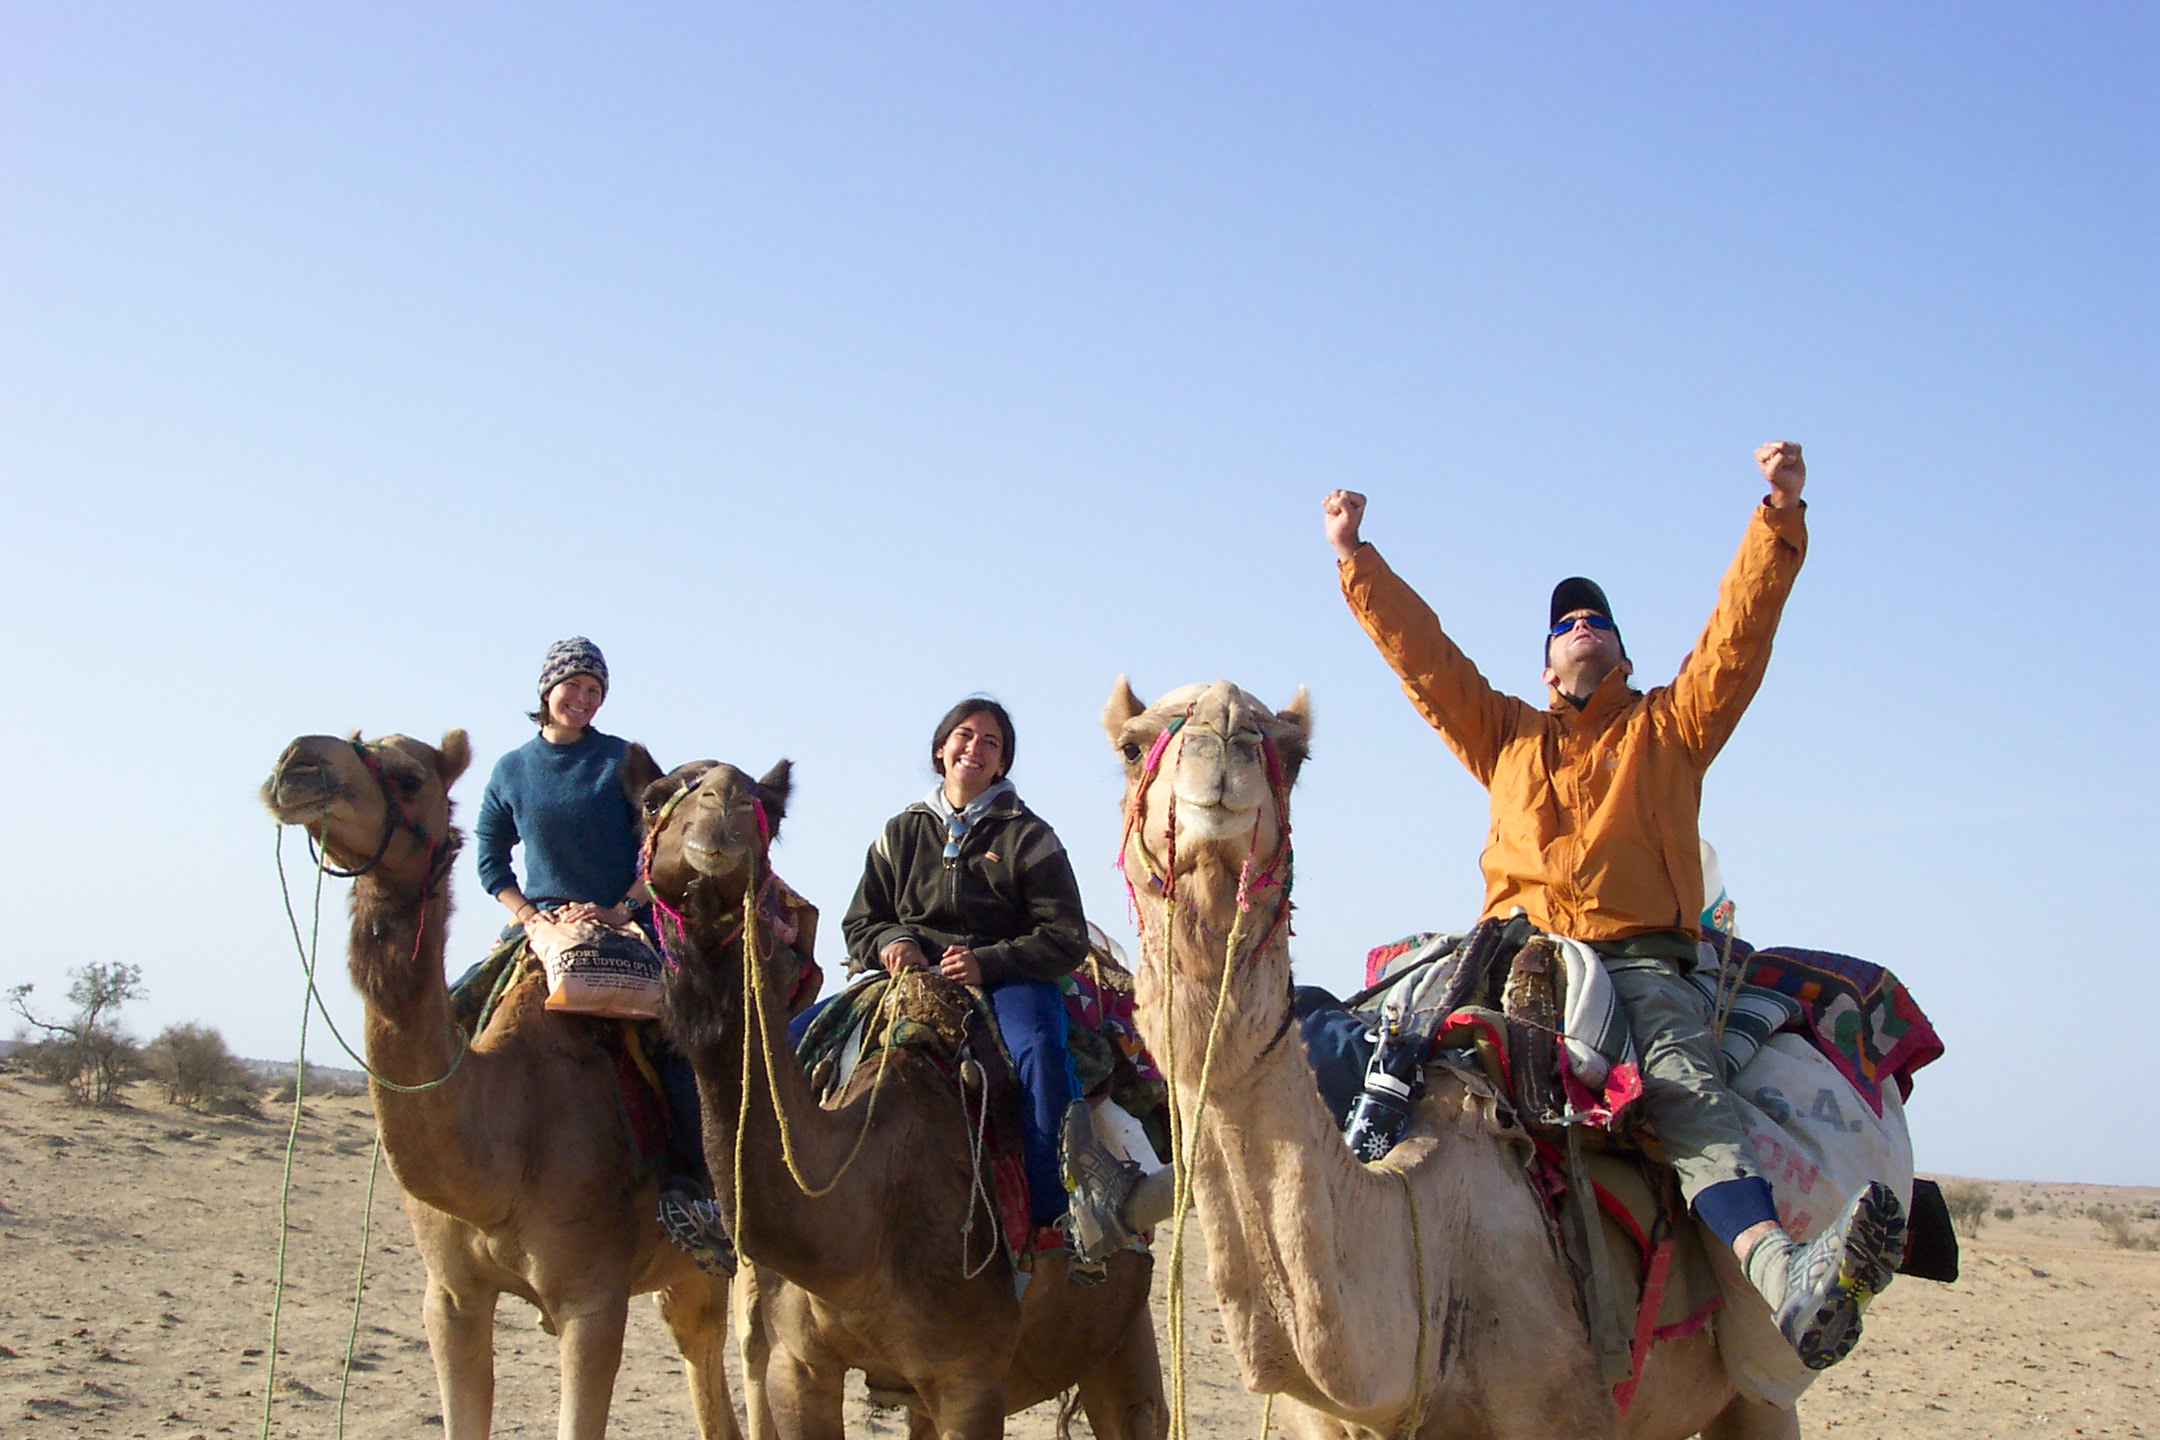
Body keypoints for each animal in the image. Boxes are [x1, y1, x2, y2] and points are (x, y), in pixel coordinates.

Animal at [262, 734, 743, 1440]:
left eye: (408, 777)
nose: (296, 764)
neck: (503, 1150)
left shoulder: (591, 1301)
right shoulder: (449, 1297)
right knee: (698, 1347)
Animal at [639, 755, 1166, 1440]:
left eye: (768, 810)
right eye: (652, 799)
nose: (722, 805)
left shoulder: (969, 1380)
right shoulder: (798, 1367)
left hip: (1121, 1331)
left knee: (1136, 1406)